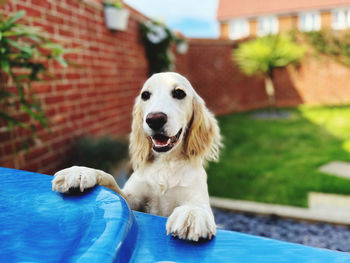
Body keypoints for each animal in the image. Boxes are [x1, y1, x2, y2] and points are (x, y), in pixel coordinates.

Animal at [51, 72, 221, 243]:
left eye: (179, 93)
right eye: (145, 95)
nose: (154, 119)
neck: (165, 163)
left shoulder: (195, 194)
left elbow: (198, 204)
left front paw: (193, 213)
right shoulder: (131, 200)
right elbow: (110, 180)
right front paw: (80, 171)